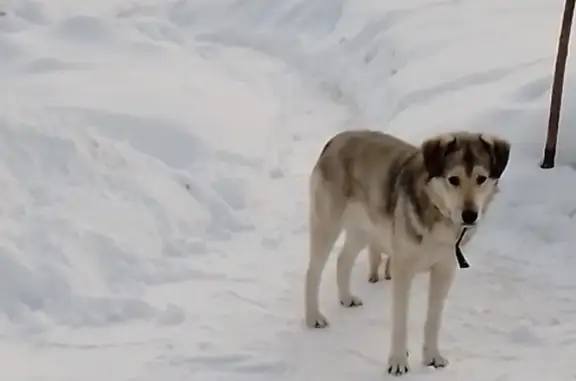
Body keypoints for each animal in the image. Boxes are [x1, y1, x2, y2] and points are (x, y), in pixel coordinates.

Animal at [304, 127, 510, 374]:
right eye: (453, 179)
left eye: (481, 179)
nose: (470, 215)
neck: (437, 211)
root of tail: (336, 139)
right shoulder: (403, 269)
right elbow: (400, 320)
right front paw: (398, 362)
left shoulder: (445, 269)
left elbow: (433, 319)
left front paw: (432, 357)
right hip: (327, 225)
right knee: (312, 272)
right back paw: (313, 317)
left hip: (364, 229)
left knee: (343, 259)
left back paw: (346, 298)